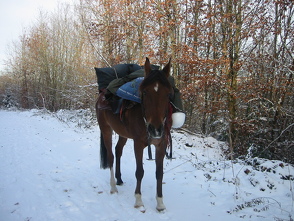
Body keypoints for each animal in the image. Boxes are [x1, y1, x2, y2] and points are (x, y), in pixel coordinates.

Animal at [95, 57, 173, 211]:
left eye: (168, 94)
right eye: (145, 92)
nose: (155, 129)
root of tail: (102, 94)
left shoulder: (161, 144)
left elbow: (159, 173)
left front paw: (160, 203)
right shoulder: (138, 144)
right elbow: (140, 172)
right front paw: (138, 200)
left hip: (123, 134)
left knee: (118, 150)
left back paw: (119, 179)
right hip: (106, 130)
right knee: (111, 156)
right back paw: (113, 186)